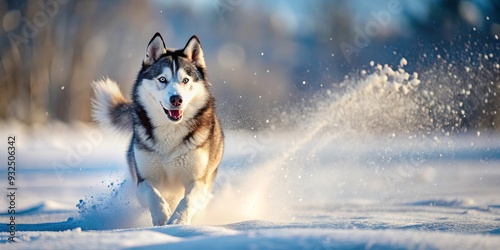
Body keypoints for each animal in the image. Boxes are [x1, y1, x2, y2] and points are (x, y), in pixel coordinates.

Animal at [91, 32, 223, 226]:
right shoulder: (143, 180)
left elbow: (188, 199)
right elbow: (152, 193)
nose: (176, 99)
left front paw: (177, 220)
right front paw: (162, 215)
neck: (171, 131)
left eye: (185, 80)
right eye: (162, 79)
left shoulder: (199, 181)